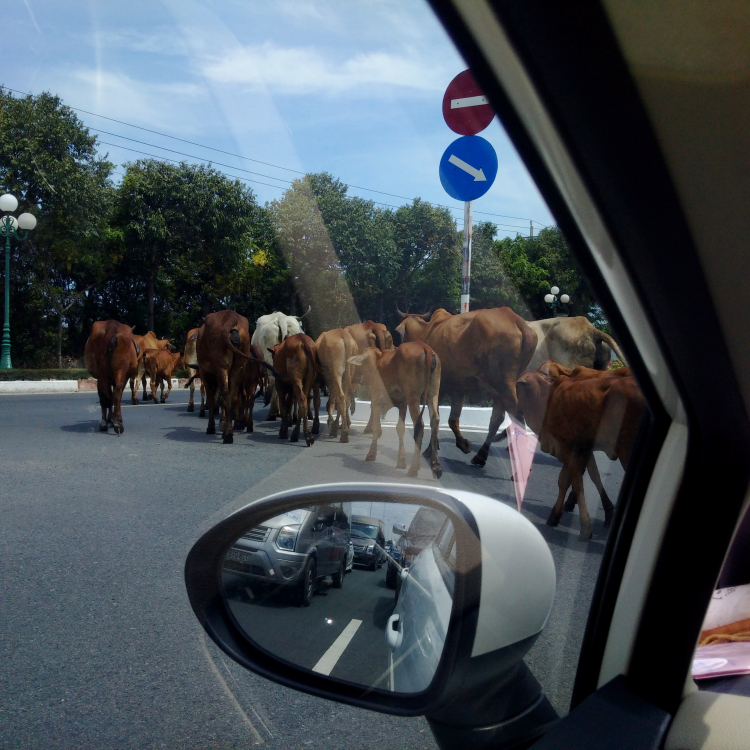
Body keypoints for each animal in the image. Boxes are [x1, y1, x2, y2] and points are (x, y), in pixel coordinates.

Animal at [198, 310, 254, 444]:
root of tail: (231, 317)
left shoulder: (204, 372)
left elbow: (211, 399)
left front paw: (211, 427)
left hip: (221, 366)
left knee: (225, 394)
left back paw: (228, 434)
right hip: (240, 363)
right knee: (232, 395)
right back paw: (229, 430)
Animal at [350, 342, 444, 478]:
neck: (378, 361)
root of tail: (425, 347)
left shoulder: (376, 399)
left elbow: (376, 427)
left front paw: (371, 454)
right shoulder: (402, 404)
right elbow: (400, 428)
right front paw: (401, 461)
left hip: (413, 397)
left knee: (419, 425)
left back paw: (414, 468)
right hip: (433, 392)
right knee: (434, 421)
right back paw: (436, 466)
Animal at [396, 306, 536, 470]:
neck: (426, 332)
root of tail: (517, 320)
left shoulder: (439, 387)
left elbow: (436, 417)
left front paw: (431, 449)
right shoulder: (459, 389)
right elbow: (452, 420)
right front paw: (462, 444)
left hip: (504, 386)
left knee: (517, 416)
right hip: (501, 389)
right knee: (497, 420)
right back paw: (480, 456)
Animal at [516, 368, 648, 540]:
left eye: (518, 387)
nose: (516, 407)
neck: (548, 398)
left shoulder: (567, 446)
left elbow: (576, 482)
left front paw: (585, 527)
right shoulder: (582, 448)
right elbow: (583, 478)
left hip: (626, 450)